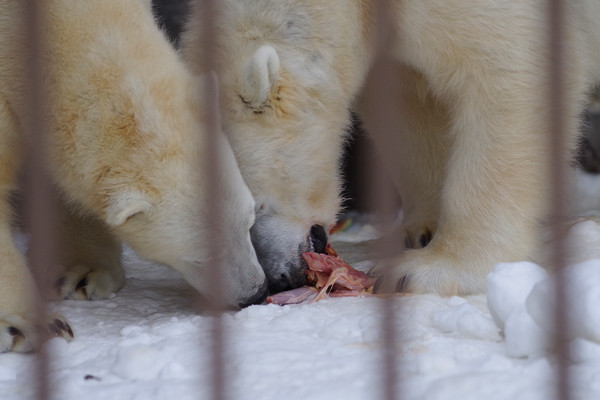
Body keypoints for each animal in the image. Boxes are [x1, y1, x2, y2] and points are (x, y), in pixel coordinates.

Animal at [180, 0, 600, 294]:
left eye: (254, 210)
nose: (279, 278)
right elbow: (405, 107)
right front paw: (421, 230)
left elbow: (509, 71)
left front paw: (422, 270)